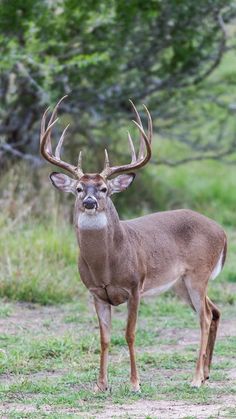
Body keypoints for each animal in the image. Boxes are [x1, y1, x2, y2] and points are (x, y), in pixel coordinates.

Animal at [40, 97, 227, 392]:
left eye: (104, 189)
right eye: (79, 189)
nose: (89, 202)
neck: (106, 265)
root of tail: (222, 232)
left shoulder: (135, 285)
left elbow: (129, 333)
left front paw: (135, 383)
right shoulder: (95, 292)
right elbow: (104, 337)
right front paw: (101, 384)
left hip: (198, 274)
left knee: (205, 317)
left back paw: (196, 378)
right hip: (180, 283)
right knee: (214, 311)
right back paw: (206, 373)